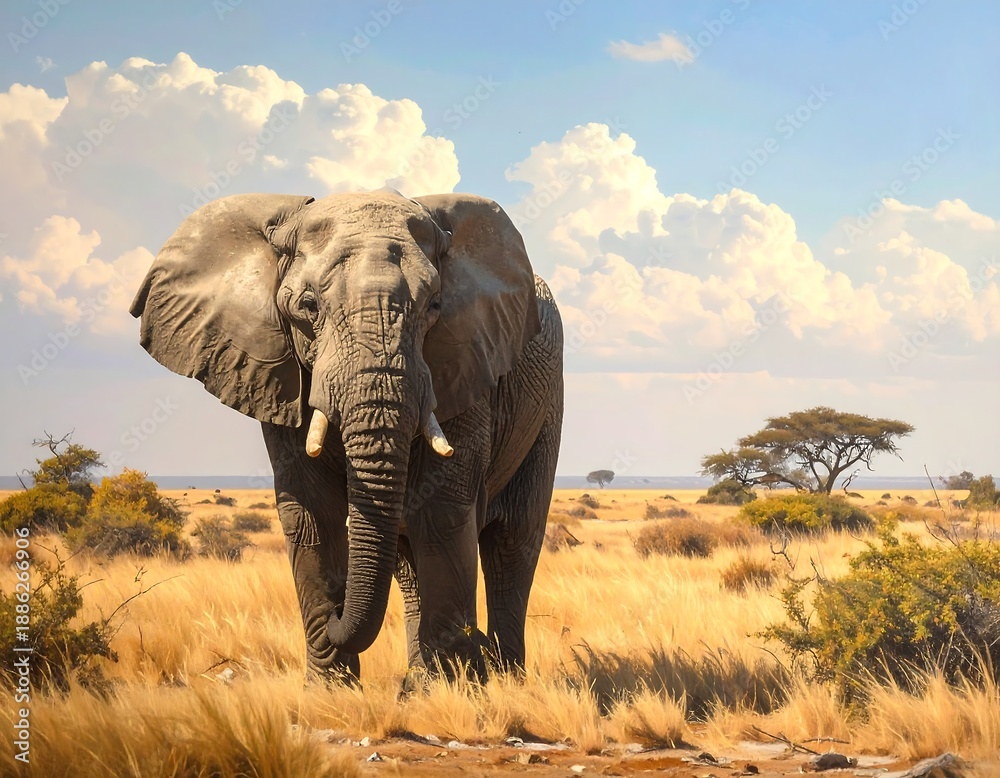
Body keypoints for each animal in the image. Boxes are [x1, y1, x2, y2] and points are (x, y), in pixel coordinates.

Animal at [129, 189, 563, 684]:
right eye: (307, 307)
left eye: (434, 306)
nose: (337, 615)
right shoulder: (282, 379)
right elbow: (311, 510)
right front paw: (331, 689)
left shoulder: (464, 363)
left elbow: (441, 510)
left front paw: (453, 688)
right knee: (408, 555)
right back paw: (426, 678)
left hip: (547, 404)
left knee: (513, 542)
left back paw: (504, 678)